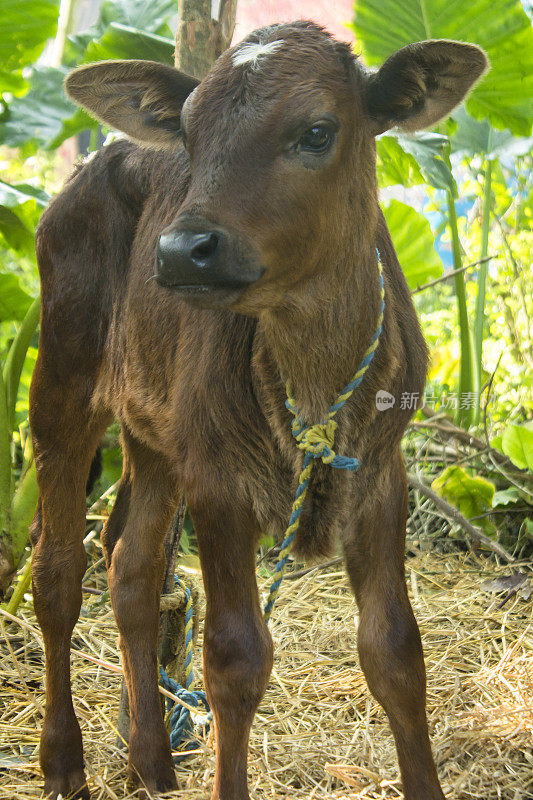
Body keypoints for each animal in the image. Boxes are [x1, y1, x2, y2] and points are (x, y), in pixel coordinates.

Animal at [29, 23, 486, 800]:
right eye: (188, 134)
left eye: (316, 131)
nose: (181, 249)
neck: (314, 373)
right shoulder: (218, 480)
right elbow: (235, 660)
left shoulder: (382, 471)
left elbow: (396, 650)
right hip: (60, 378)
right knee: (58, 572)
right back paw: (62, 760)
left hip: (154, 428)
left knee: (131, 566)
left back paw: (151, 761)